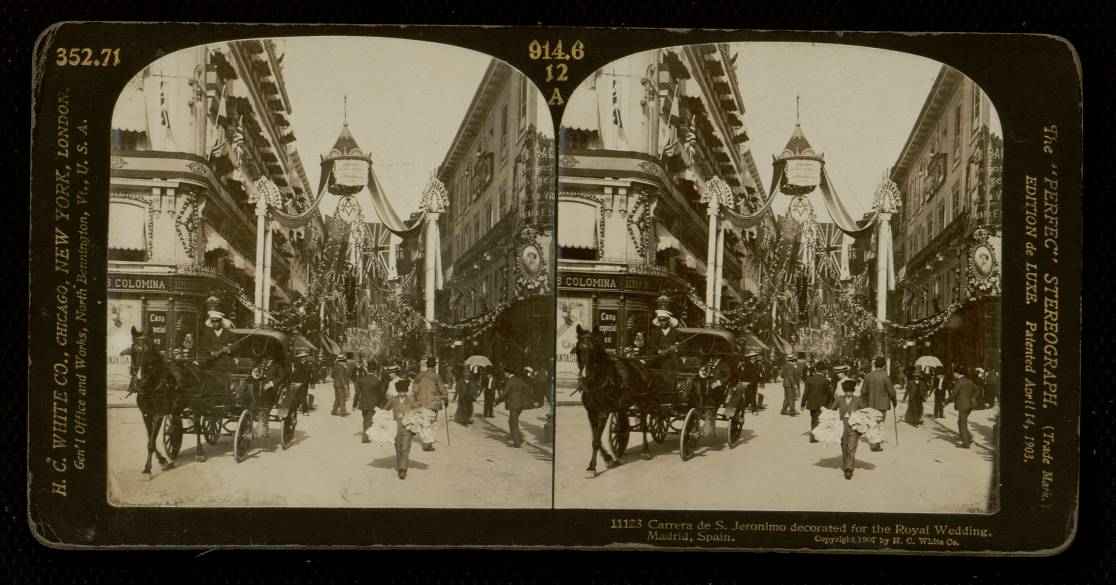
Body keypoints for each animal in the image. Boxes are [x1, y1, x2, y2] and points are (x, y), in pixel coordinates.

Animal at [575, 321, 651, 477]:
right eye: (579, 349)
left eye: (594, 350)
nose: (585, 376)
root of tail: (640, 363)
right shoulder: (591, 412)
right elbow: (595, 438)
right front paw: (608, 458)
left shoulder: (604, 412)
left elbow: (596, 441)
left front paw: (591, 467)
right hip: (622, 406)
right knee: (623, 428)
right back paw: (619, 455)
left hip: (643, 402)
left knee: (644, 425)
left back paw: (645, 450)